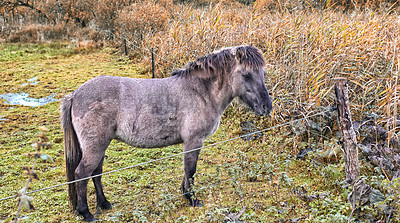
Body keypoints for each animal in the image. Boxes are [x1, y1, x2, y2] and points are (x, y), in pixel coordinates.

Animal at [61, 45, 274, 221]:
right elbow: (190, 170)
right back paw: (86, 213)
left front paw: (186, 194)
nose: (267, 107)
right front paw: (192, 199)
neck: (200, 92)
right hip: (95, 147)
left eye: (263, 73)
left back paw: (104, 204)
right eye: (246, 75)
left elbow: (187, 171)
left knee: (96, 174)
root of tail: (74, 95)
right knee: (82, 174)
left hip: (99, 146)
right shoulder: (193, 141)